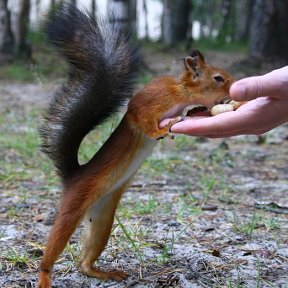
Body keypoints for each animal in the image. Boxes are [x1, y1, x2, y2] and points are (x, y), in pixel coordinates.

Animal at [37, 2, 234, 288]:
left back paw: (103, 273)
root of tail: (73, 175)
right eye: (218, 78)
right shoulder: (148, 103)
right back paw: (44, 275)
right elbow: (144, 121)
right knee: (54, 246)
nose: (236, 85)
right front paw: (164, 128)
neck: (181, 92)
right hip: (72, 209)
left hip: (103, 219)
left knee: (84, 263)